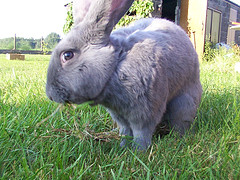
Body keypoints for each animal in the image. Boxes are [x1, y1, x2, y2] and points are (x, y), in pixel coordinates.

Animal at [46, 0, 202, 150]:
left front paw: (139, 151)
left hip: (184, 102)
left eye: (67, 55)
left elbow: (141, 133)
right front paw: (123, 147)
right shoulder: (119, 115)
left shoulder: (145, 111)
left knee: (180, 121)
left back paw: (178, 137)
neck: (116, 64)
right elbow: (126, 131)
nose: (50, 95)